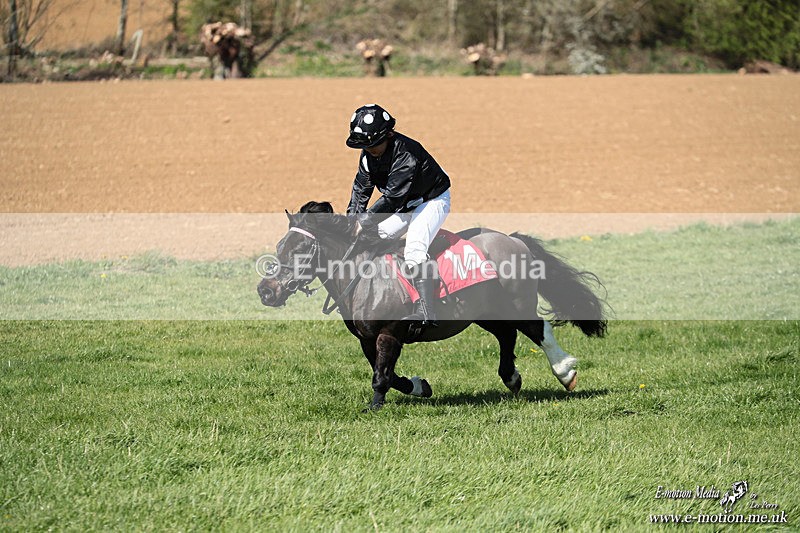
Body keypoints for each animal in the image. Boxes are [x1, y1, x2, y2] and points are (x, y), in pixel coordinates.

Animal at [257, 201, 607, 410]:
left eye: (300, 248)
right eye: (279, 246)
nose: (266, 291)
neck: (361, 275)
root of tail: (513, 239)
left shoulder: (389, 333)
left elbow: (381, 376)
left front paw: (374, 406)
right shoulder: (367, 338)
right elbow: (387, 373)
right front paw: (420, 386)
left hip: (516, 303)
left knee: (537, 328)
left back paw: (564, 371)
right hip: (484, 312)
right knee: (507, 336)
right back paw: (511, 377)